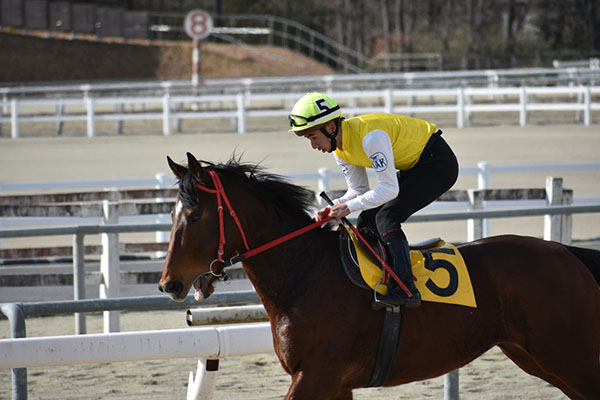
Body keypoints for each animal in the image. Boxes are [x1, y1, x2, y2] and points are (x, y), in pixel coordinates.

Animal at [159, 153, 600, 400]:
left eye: (194, 216)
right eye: (172, 213)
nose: (169, 284)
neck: (304, 274)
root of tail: (567, 252)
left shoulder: (316, 376)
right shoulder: (334, 384)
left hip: (569, 355)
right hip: (535, 355)